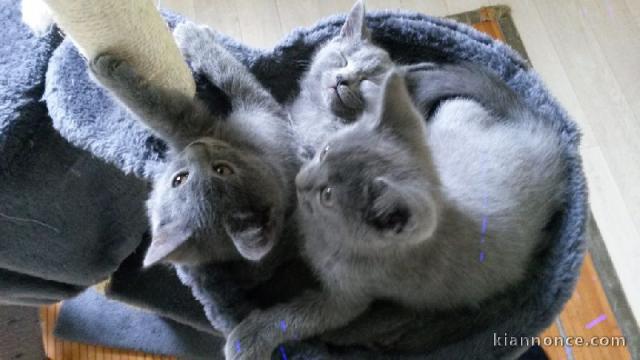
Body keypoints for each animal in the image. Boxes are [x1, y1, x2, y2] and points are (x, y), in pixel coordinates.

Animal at [225, 67, 564, 358]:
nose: (300, 180)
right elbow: (281, 242)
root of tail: (543, 137)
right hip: (456, 110)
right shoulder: (303, 224)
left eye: (328, 195)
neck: (326, 238)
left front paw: (250, 338)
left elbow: (295, 317)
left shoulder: (347, 299)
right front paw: (245, 269)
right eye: (325, 152)